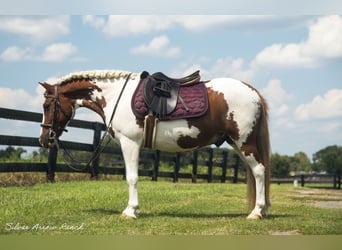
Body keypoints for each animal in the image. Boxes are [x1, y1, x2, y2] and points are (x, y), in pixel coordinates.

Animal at [38, 69, 272, 220]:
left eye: (47, 105)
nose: (44, 139)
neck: (115, 96)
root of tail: (252, 91)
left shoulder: (130, 143)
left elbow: (132, 178)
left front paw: (130, 211)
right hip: (238, 144)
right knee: (256, 172)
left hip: (244, 143)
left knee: (259, 171)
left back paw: (256, 212)